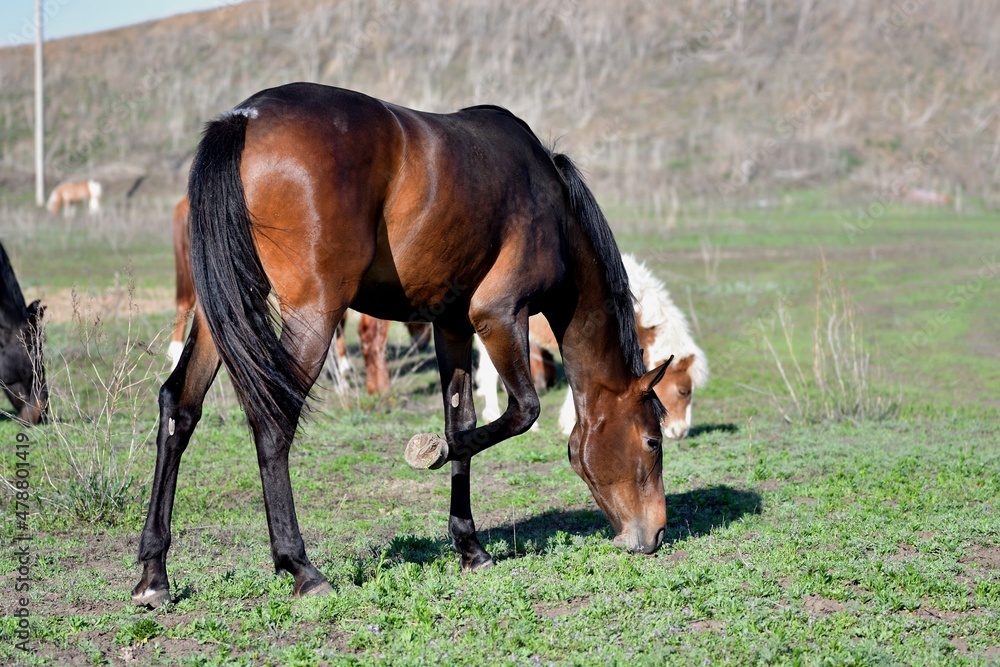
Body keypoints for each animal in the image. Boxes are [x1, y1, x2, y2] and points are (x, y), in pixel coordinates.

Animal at [133, 83, 670, 607]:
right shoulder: (498, 316)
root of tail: (243, 118)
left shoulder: (452, 324)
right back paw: (301, 568)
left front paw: (470, 546)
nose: (658, 535)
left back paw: (154, 575)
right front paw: (431, 453)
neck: (553, 209)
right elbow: (520, 412)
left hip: (221, 309)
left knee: (179, 407)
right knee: (274, 421)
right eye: (653, 441)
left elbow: (464, 422)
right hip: (313, 314)